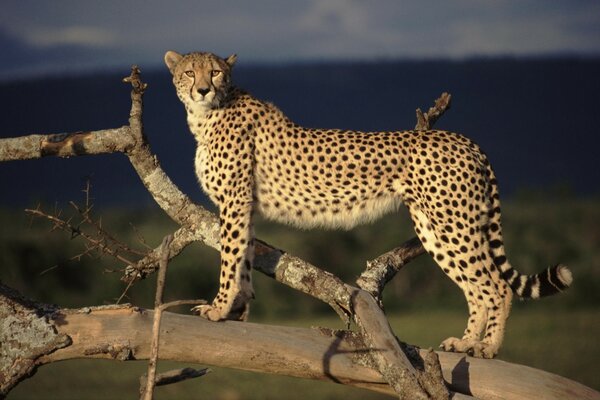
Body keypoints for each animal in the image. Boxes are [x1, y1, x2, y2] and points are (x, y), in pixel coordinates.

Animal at [163, 50, 572, 360]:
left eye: (215, 71)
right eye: (189, 72)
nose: (202, 89)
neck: (209, 113)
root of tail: (463, 139)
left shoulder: (234, 202)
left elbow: (230, 258)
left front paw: (218, 308)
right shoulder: (243, 206)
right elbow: (243, 258)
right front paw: (237, 310)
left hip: (453, 223)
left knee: (496, 286)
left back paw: (487, 348)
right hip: (435, 229)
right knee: (476, 288)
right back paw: (466, 342)